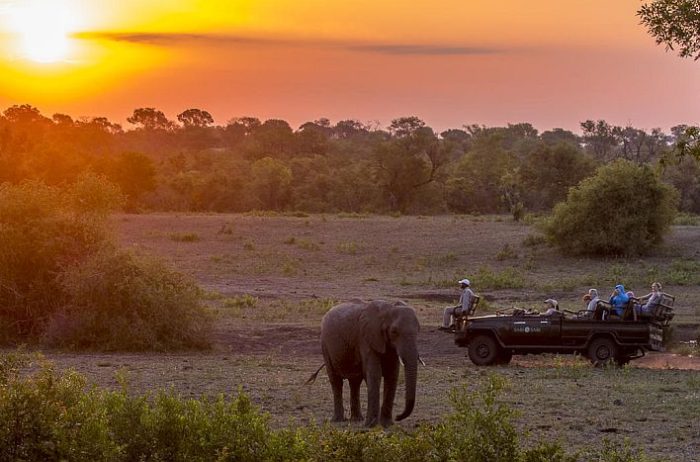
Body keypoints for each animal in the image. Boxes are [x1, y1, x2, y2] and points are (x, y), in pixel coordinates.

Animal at [320, 298, 418, 428]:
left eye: (418, 330)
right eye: (394, 331)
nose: (398, 417)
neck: (388, 309)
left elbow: (392, 375)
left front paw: (387, 425)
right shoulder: (366, 339)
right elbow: (374, 374)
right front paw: (371, 425)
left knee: (355, 382)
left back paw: (356, 419)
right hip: (325, 345)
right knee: (336, 381)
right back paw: (338, 420)